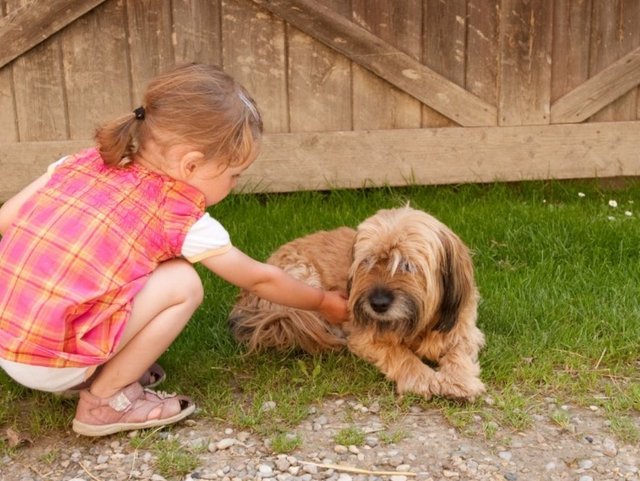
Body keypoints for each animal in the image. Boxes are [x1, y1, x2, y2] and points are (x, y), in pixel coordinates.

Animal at [230, 205, 484, 398]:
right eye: (367, 261)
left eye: (407, 265)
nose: (378, 304)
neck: (419, 325)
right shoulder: (365, 336)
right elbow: (399, 353)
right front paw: (423, 377)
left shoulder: (464, 330)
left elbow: (459, 352)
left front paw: (459, 380)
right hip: (301, 278)